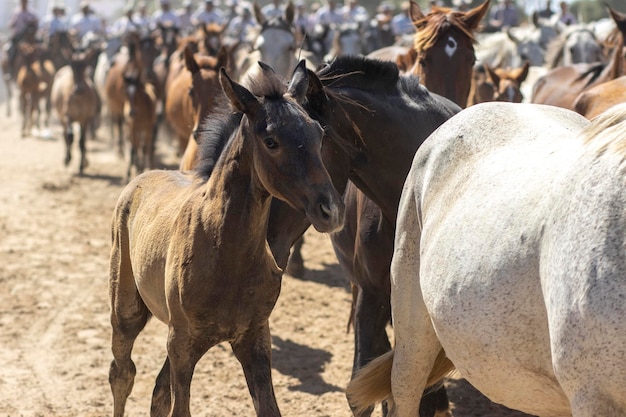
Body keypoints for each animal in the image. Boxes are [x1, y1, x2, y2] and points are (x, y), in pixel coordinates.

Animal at [107, 59, 342, 416]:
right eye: (271, 141)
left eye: (319, 133)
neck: (227, 253)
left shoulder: (254, 338)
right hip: (126, 310)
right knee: (122, 373)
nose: (330, 210)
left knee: (158, 390)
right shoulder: (183, 343)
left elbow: (268, 408)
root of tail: (140, 179)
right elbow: (178, 406)